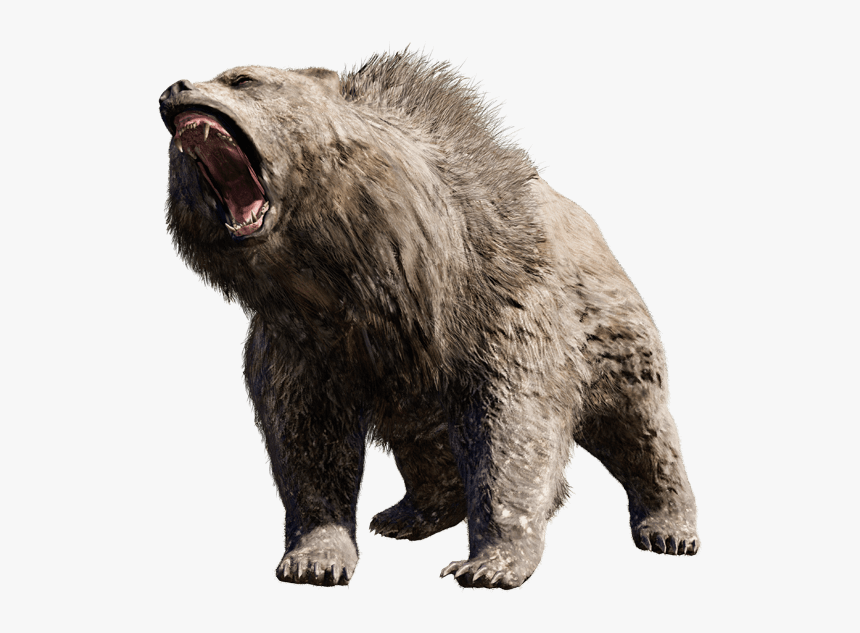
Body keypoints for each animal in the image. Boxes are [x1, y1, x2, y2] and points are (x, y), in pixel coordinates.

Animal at [158, 51, 699, 589]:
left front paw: (488, 565)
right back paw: (404, 516)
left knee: (641, 428)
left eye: (242, 79)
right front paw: (315, 558)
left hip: (613, 334)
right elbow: (306, 441)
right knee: (424, 446)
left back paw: (671, 529)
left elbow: (513, 433)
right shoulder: (301, 342)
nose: (173, 89)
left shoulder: (501, 311)